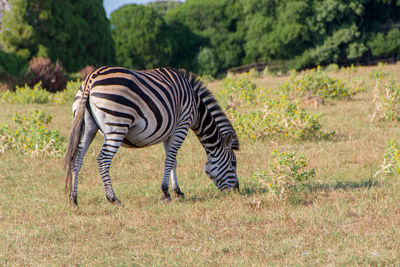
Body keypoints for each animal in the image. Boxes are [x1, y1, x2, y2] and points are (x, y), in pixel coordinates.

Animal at [65, 66, 239, 205]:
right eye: (233, 163)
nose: (237, 191)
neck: (195, 107)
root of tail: (91, 78)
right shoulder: (182, 125)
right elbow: (170, 159)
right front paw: (165, 192)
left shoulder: (169, 130)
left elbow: (173, 160)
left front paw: (177, 191)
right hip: (117, 125)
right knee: (103, 159)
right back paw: (113, 198)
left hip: (88, 128)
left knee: (77, 158)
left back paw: (74, 198)